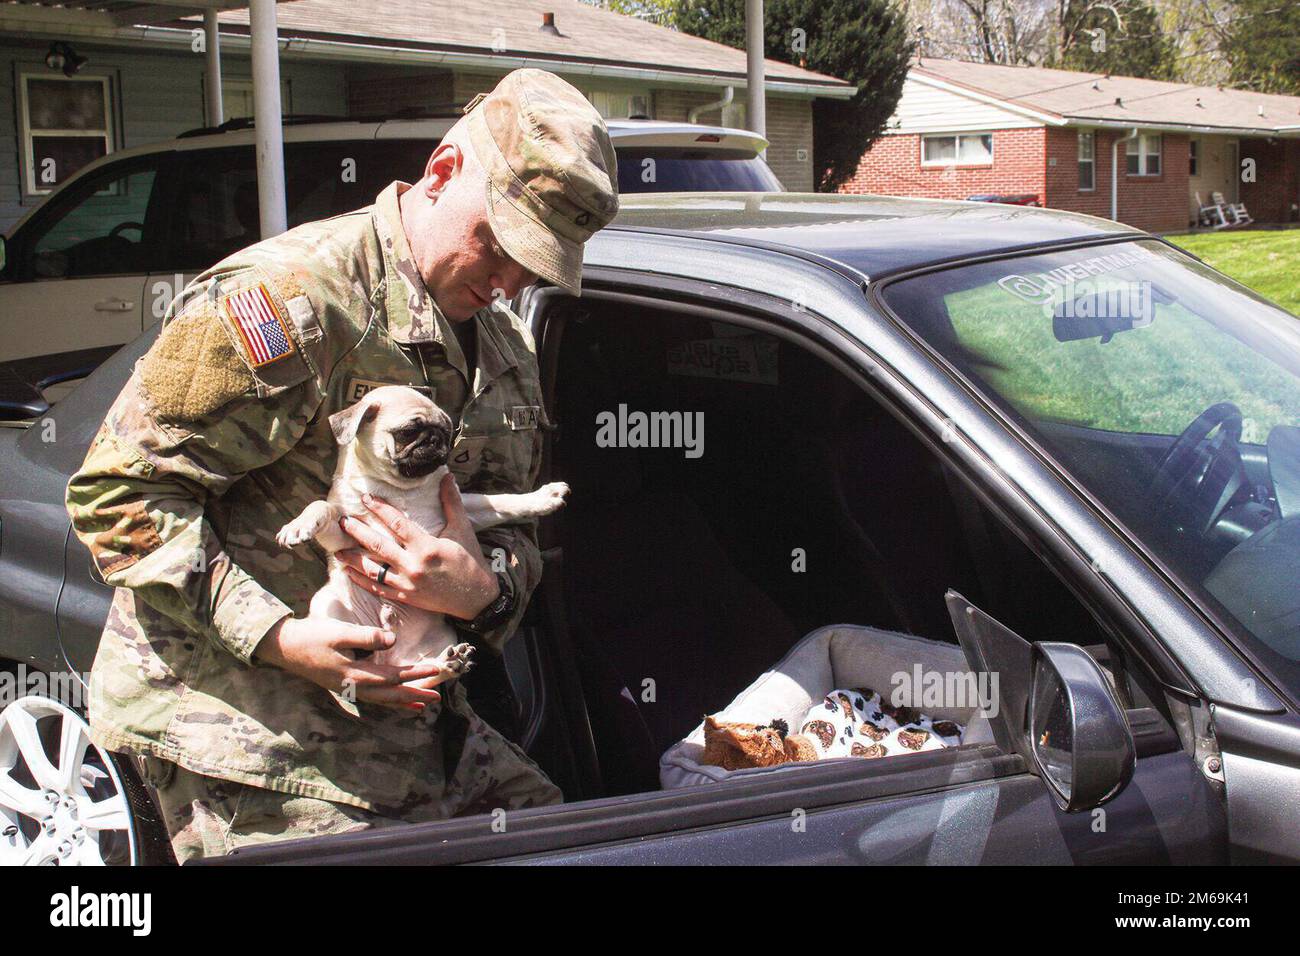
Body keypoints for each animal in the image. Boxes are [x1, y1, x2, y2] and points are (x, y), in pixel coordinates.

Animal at [276, 382, 566, 681]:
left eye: (447, 431)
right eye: (408, 432)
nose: (437, 439)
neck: (400, 489)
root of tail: (388, 657)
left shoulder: (467, 510)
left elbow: (503, 502)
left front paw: (544, 497)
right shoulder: (344, 535)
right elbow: (321, 506)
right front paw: (299, 525)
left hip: (442, 638)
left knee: (426, 674)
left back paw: (451, 662)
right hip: (328, 605)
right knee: (348, 656)